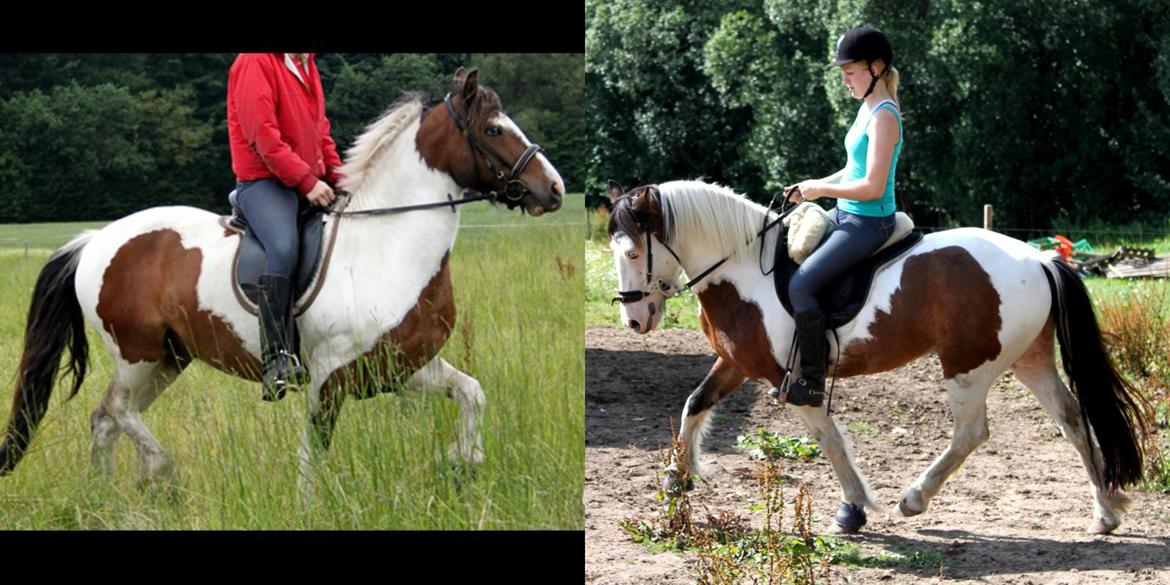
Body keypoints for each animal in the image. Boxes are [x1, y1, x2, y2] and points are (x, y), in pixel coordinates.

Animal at [0, 68, 566, 491]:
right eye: (493, 130)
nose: (555, 189)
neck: (385, 244)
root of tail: (94, 240)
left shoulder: (402, 366)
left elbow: (473, 393)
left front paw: (461, 461)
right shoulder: (328, 377)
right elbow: (313, 457)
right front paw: (314, 505)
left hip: (167, 359)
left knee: (105, 420)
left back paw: (104, 497)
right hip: (136, 354)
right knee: (117, 411)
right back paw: (157, 469)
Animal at [613, 181, 1151, 535]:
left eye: (635, 253)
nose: (635, 319)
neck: (745, 270)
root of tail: (1039, 258)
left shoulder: (790, 379)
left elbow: (829, 440)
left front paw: (853, 507)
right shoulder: (738, 364)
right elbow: (695, 403)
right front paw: (676, 478)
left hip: (967, 367)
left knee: (972, 432)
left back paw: (914, 499)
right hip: (1029, 360)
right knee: (1072, 418)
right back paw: (1105, 511)